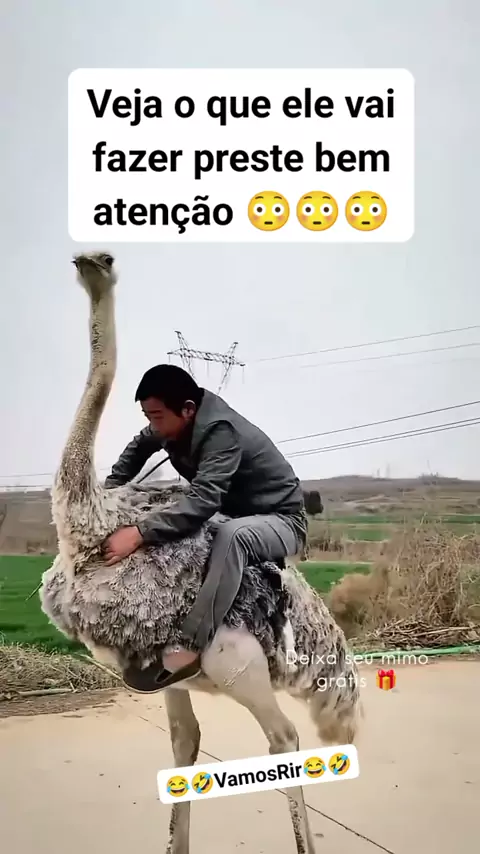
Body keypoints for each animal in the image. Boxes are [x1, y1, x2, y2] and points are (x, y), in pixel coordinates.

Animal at [39, 251, 361, 854]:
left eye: (109, 260)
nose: (89, 261)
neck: (88, 525)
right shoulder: (161, 673)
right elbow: (184, 743)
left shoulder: (230, 659)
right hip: (191, 677)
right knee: (192, 738)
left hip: (239, 665)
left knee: (285, 737)